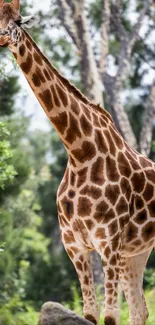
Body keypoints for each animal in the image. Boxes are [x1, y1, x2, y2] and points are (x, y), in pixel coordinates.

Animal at [0, 1, 155, 322]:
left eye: (18, 22)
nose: (2, 37)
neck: (80, 151)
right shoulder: (75, 246)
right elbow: (91, 314)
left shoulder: (109, 245)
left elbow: (110, 316)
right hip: (136, 252)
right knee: (140, 309)